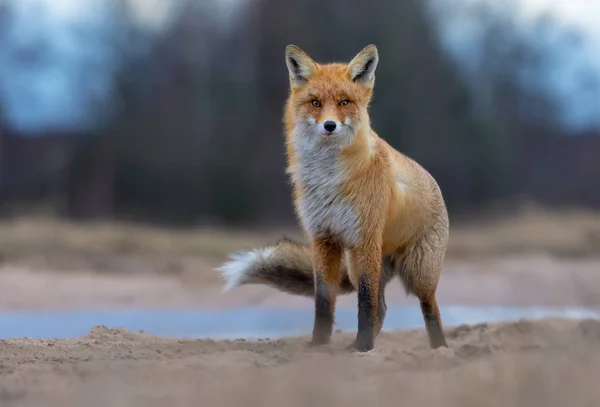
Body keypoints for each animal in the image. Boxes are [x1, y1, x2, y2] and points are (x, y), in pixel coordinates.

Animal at [218, 43, 448, 350]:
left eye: (344, 102)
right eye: (316, 103)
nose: (329, 125)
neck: (327, 180)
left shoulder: (364, 239)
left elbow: (364, 301)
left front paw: (363, 348)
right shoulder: (323, 238)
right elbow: (324, 302)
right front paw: (319, 346)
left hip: (417, 273)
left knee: (429, 307)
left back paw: (439, 348)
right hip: (358, 264)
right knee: (383, 308)